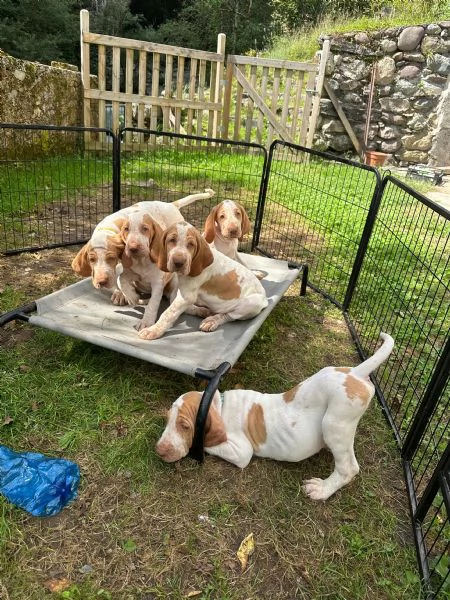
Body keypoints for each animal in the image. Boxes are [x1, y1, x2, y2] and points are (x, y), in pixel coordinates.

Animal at [139, 221, 268, 342]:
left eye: (191, 244)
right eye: (172, 240)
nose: (179, 263)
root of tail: (265, 298)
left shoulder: (186, 296)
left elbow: (169, 313)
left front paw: (153, 330)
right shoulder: (179, 292)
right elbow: (174, 306)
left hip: (252, 303)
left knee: (228, 315)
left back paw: (211, 321)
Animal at [156, 332, 394, 502]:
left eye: (184, 426)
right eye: (167, 421)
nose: (159, 450)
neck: (220, 406)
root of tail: (354, 373)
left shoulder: (241, 452)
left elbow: (205, 444)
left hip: (335, 423)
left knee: (348, 468)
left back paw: (322, 489)